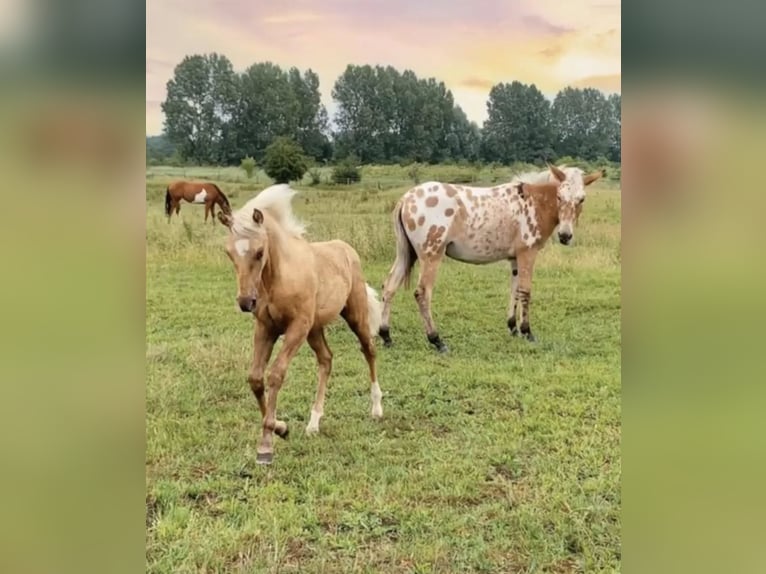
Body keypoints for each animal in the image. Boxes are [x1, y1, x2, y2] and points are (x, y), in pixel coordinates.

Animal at [216, 187, 384, 466]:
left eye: (260, 252)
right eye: (229, 254)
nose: (245, 302)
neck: (278, 278)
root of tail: (346, 249)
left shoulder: (297, 327)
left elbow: (275, 374)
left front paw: (266, 446)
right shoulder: (266, 328)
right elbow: (255, 378)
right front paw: (281, 429)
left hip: (354, 314)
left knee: (369, 350)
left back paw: (377, 409)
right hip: (315, 329)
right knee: (326, 360)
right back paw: (313, 423)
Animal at [380, 164, 604, 354]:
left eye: (582, 199)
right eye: (559, 196)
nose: (565, 236)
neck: (533, 202)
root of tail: (406, 198)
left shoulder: (515, 258)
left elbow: (514, 290)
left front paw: (513, 327)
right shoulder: (527, 254)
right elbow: (525, 292)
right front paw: (527, 331)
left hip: (404, 254)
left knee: (389, 287)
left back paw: (386, 335)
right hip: (431, 256)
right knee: (422, 293)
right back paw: (436, 340)